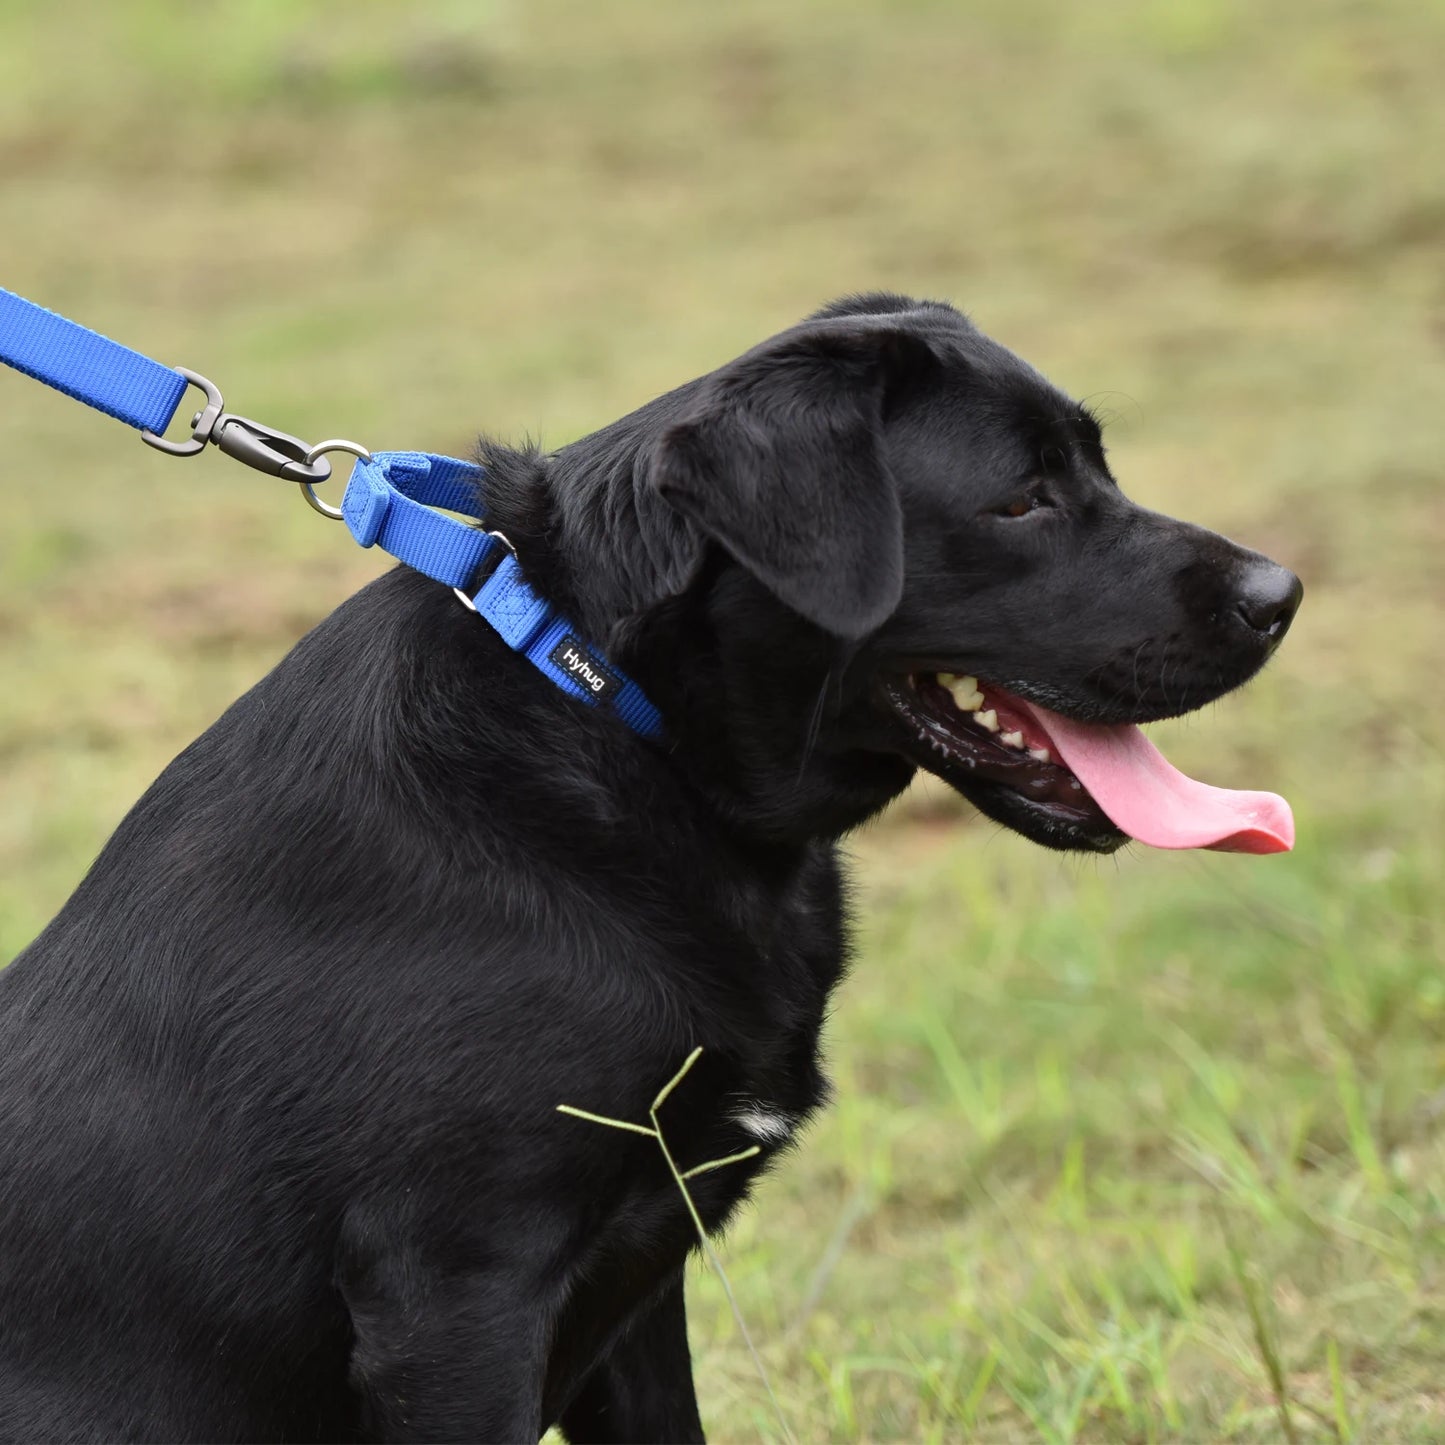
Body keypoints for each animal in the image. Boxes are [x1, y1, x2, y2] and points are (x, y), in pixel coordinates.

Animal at [0, 290, 1306, 1433]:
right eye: (1022, 499)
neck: (617, 715)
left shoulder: (635, 1282)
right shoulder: (454, 1293)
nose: (1280, 591)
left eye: (1094, 469)